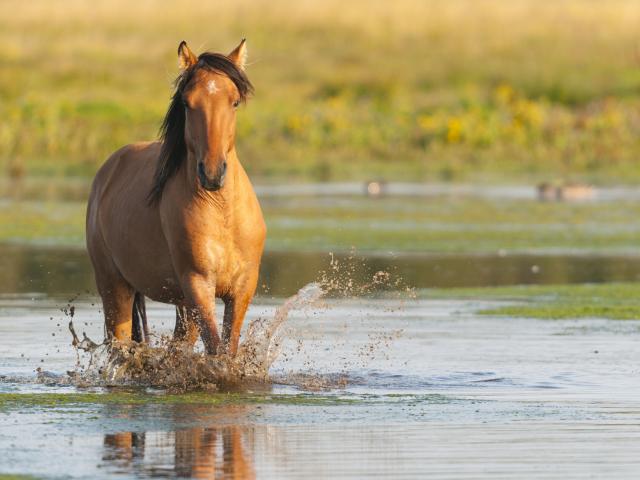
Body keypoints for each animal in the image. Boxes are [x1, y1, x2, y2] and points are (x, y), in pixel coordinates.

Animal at [85, 40, 264, 356]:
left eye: (234, 102)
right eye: (187, 103)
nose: (212, 173)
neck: (222, 213)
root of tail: (106, 172)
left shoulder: (242, 287)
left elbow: (227, 349)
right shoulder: (198, 284)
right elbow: (215, 348)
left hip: (181, 306)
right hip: (114, 286)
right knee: (120, 346)